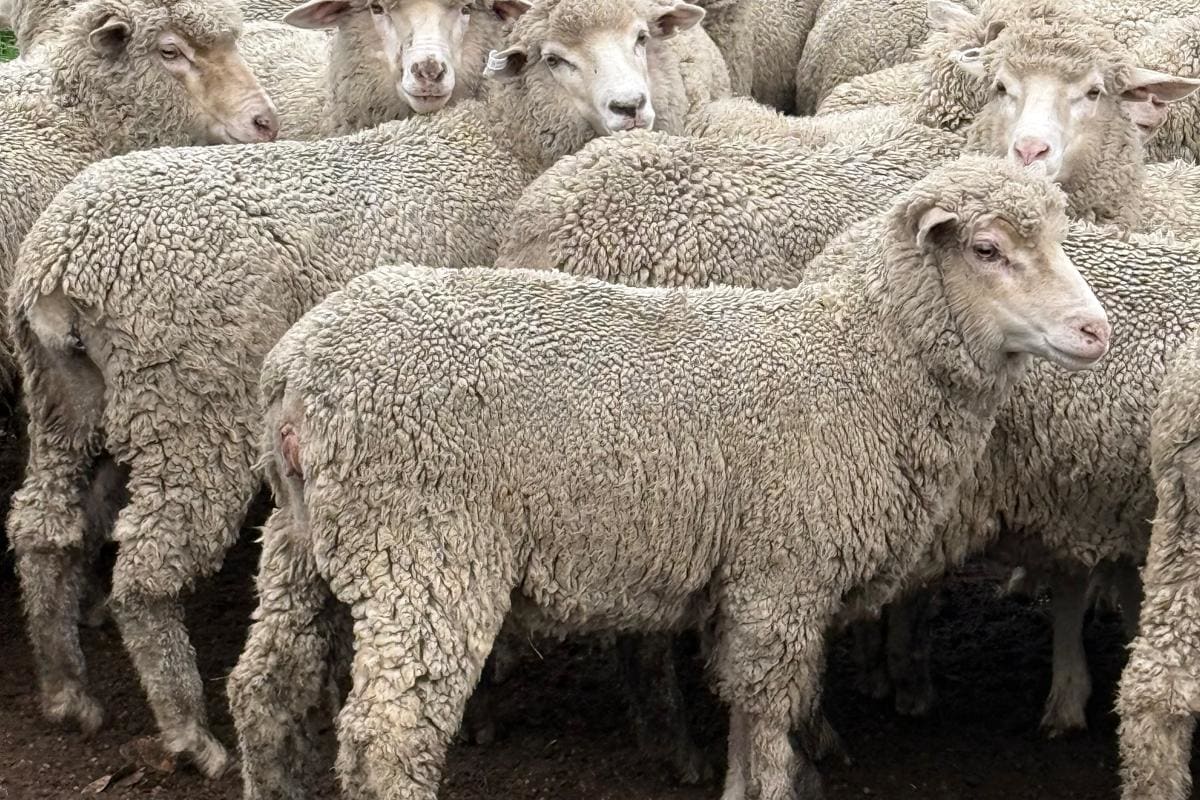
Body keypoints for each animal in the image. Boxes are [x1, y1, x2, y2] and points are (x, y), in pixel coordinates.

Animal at [6, 0, 714, 778]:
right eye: (556, 58)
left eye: (642, 36)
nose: (631, 108)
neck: (503, 141)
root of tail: (63, 263)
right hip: (190, 410)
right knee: (146, 570)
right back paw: (190, 732)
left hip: (65, 399)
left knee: (43, 527)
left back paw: (66, 691)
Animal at [232, 155, 1109, 800]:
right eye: (988, 250)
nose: (1094, 330)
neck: (859, 362)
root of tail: (295, 372)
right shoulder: (780, 574)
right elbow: (768, 716)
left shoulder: (745, 585)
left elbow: (743, 708)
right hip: (424, 548)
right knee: (389, 735)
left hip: (306, 538)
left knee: (263, 690)